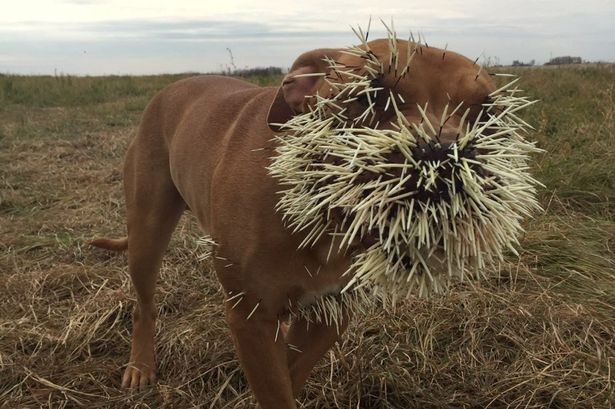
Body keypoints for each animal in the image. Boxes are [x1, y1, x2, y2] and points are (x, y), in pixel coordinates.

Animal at [90, 37, 496, 404]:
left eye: (488, 114)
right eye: (368, 96)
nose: (442, 155)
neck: (324, 217)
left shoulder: (329, 314)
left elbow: (289, 373)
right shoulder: (251, 316)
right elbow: (275, 387)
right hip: (147, 233)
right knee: (144, 305)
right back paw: (140, 366)